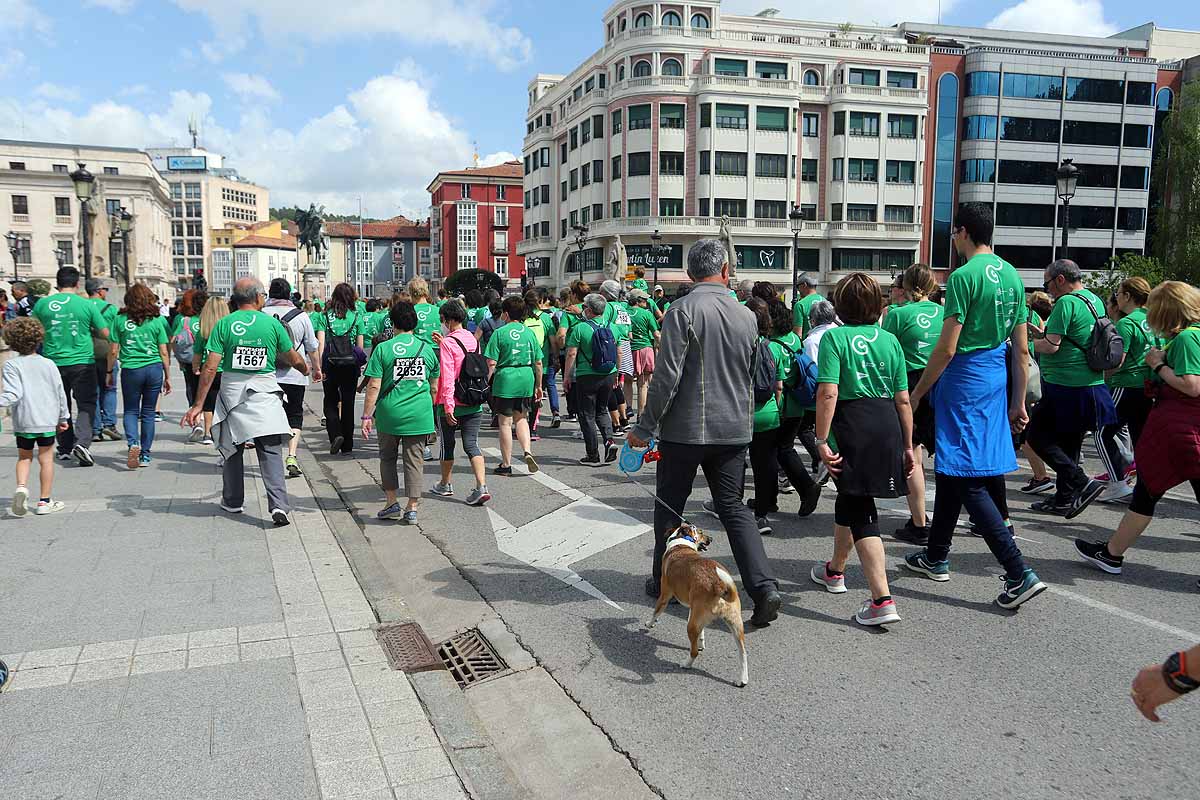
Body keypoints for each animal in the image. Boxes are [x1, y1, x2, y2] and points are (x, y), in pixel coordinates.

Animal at [648, 525, 748, 690]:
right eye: (701, 532)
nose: (711, 538)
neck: (682, 543)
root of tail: (719, 584)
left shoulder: (665, 594)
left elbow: (656, 611)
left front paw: (649, 624)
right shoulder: (693, 610)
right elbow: (701, 632)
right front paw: (701, 642)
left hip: (691, 625)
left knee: (694, 652)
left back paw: (686, 664)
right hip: (735, 625)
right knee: (743, 654)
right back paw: (742, 680)